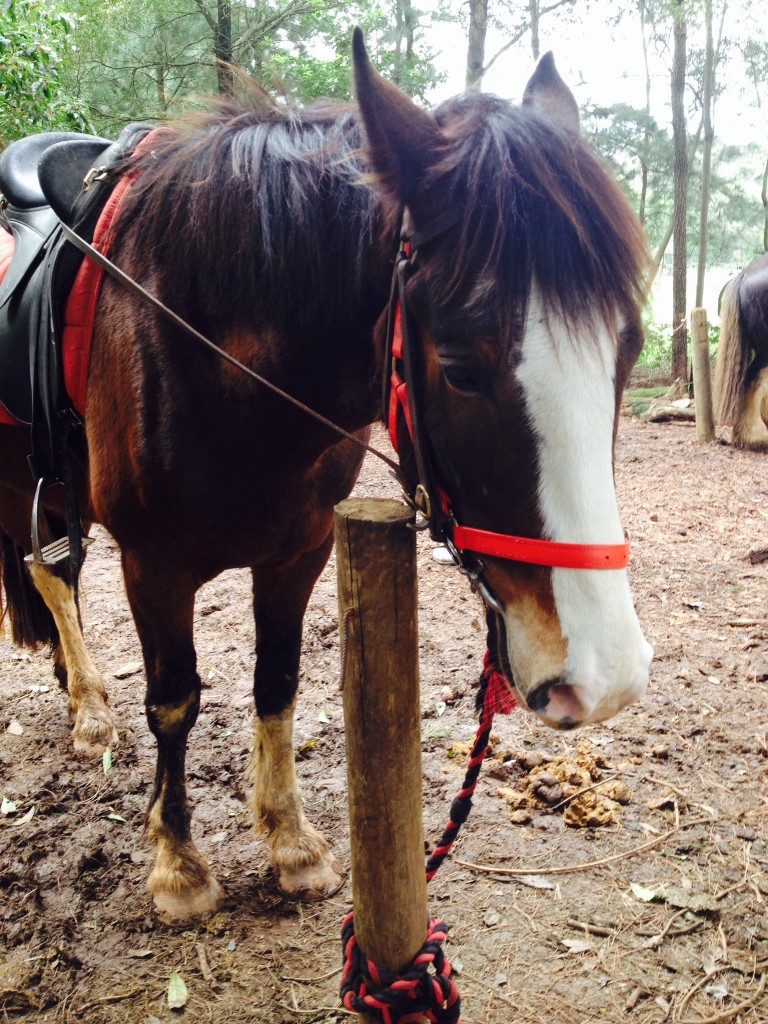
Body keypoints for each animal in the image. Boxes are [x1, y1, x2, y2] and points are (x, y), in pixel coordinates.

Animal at [0, 37, 655, 921]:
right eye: (459, 365)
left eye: (629, 347)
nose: (605, 678)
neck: (205, 340)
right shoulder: (152, 564)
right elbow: (174, 699)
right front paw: (178, 863)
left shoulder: (300, 549)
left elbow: (276, 682)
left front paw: (291, 842)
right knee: (51, 573)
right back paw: (94, 712)